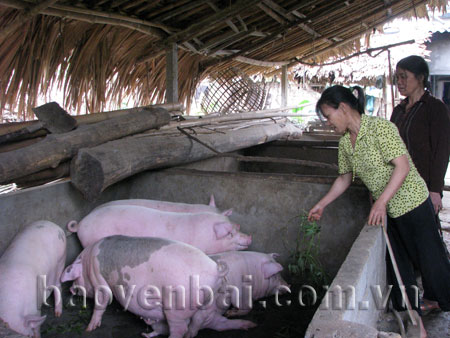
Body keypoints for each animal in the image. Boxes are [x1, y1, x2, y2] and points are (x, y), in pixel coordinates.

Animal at [60, 235, 256, 338]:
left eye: (76, 278)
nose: (70, 288)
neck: (87, 262)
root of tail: (215, 269)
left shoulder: (98, 278)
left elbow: (103, 300)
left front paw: (89, 328)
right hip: (210, 303)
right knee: (211, 324)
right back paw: (249, 324)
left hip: (177, 304)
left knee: (180, 329)